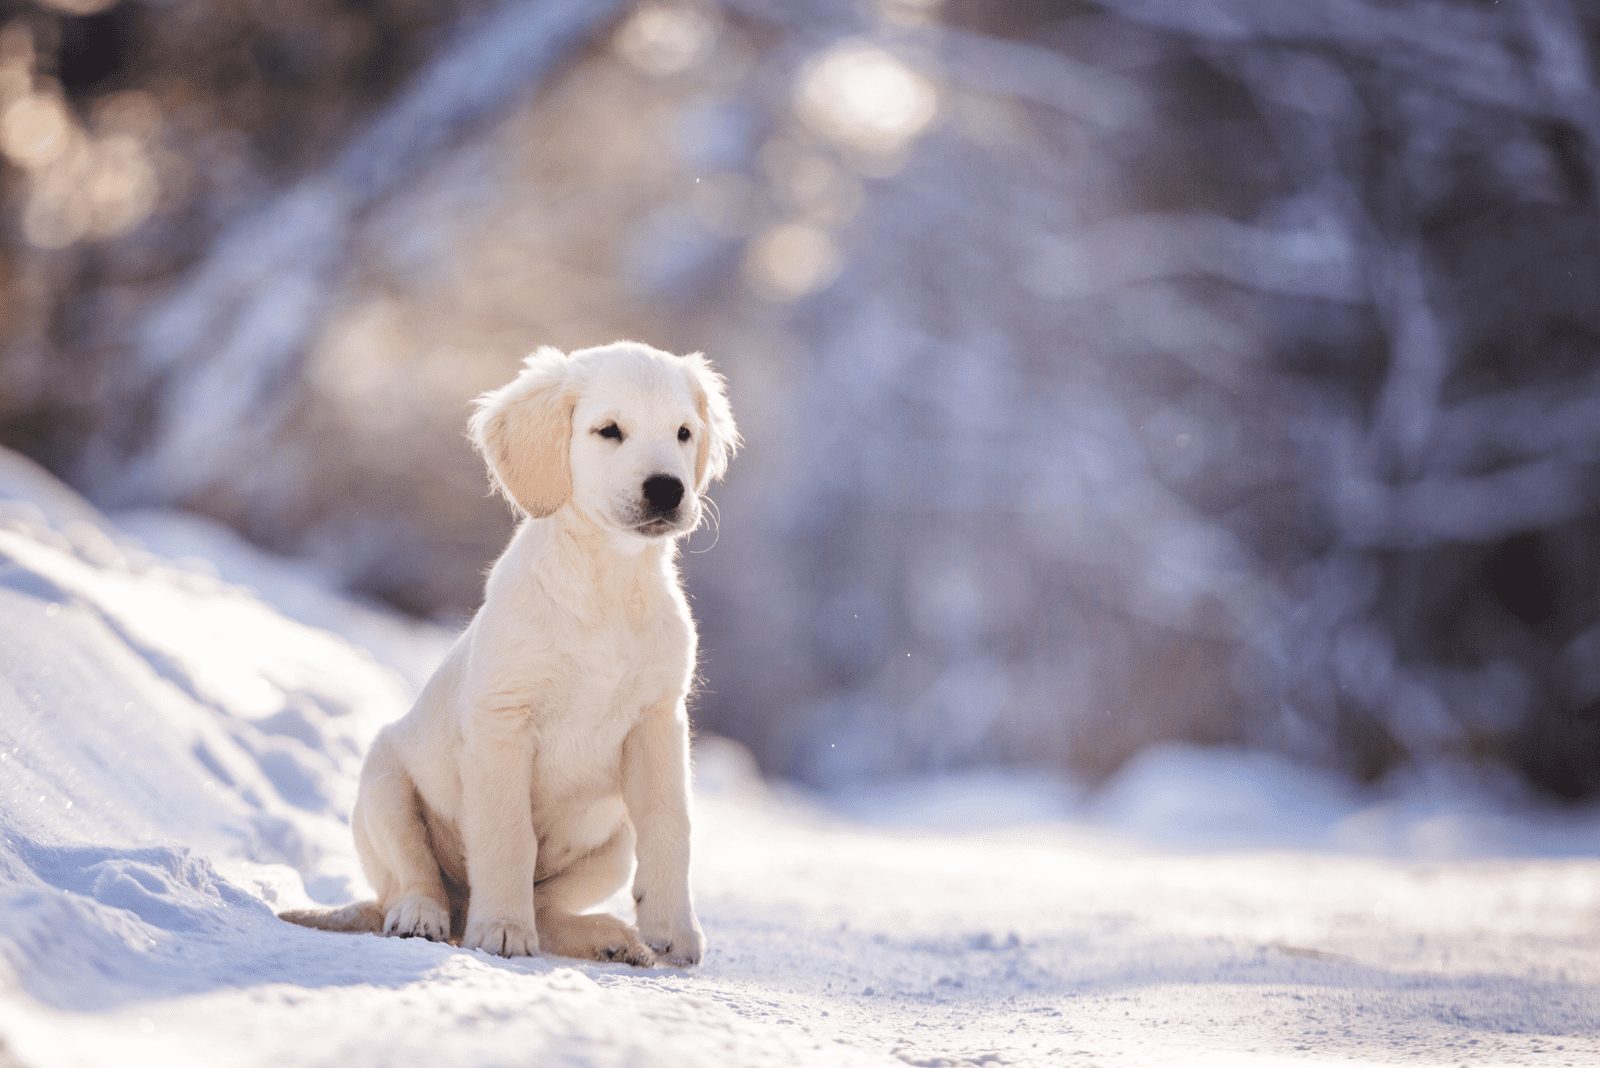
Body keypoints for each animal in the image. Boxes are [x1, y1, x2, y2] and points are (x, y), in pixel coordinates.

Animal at [281, 342, 736, 965]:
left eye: (684, 432)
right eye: (609, 430)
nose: (668, 488)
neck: (604, 583)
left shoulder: (658, 721)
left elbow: (671, 825)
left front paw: (675, 933)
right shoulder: (503, 721)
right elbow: (507, 835)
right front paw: (500, 929)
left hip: (613, 843)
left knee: (548, 910)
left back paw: (610, 939)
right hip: (382, 785)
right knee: (412, 878)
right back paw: (425, 916)